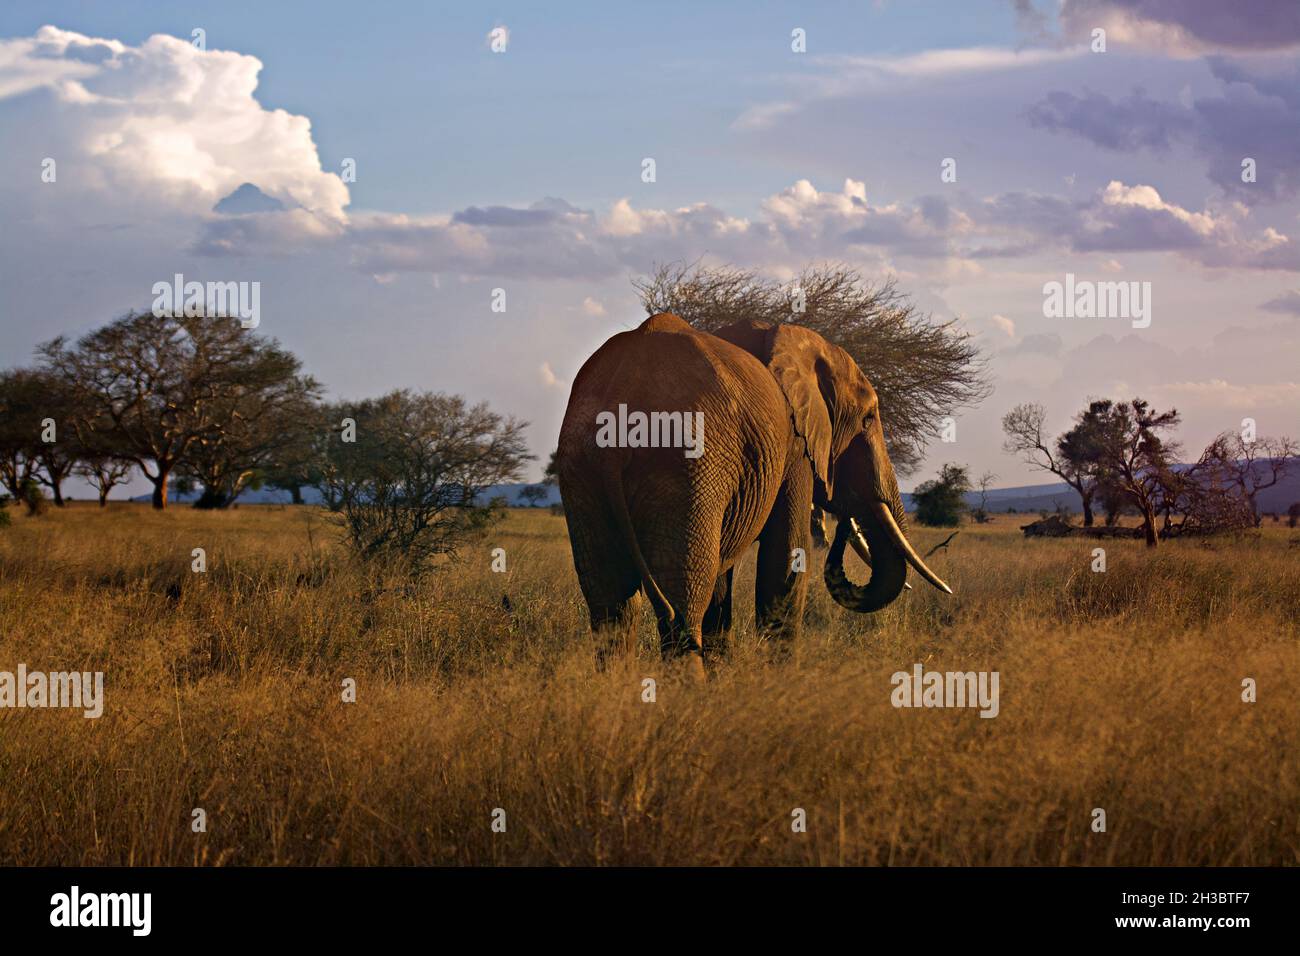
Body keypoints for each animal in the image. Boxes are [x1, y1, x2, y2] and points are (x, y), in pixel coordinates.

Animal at [553, 310, 951, 676]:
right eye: (868, 419)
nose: (844, 522)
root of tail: (618, 408)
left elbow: (724, 576)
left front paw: (724, 675)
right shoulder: (794, 445)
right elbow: (787, 557)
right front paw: (779, 683)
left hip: (582, 467)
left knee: (610, 596)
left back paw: (617, 691)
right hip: (683, 462)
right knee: (682, 591)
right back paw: (688, 695)